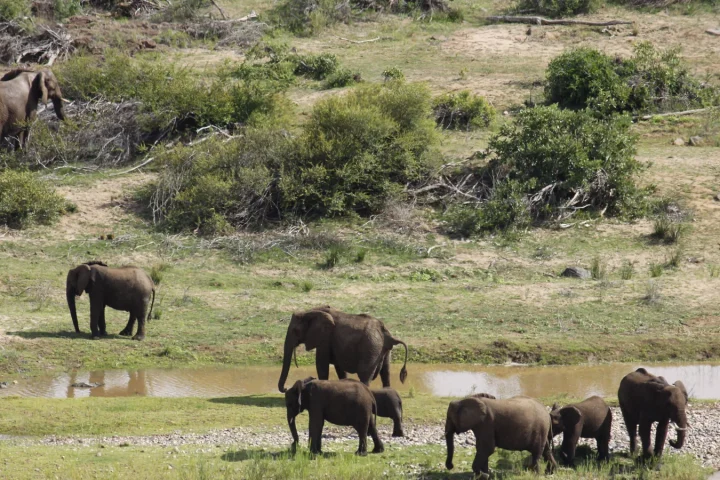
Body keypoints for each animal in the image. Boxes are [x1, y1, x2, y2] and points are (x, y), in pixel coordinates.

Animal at [277, 306, 408, 393]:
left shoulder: (325, 338)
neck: (310, 311)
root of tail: (387, 334)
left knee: (365, 374)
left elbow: (321, 365)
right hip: (382, 349)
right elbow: (339, 368)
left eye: (295, 331)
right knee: (386, 372)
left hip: (370, 347)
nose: (286, 388)